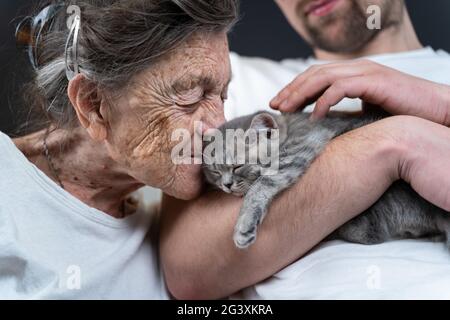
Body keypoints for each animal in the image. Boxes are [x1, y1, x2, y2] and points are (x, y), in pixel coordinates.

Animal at [204, 111, 450, 249]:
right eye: (214, 172)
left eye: (237, 166)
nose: (226, 185)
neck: (290, 128)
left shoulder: (298, 149)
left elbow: (261, 185)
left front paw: (244, 224)